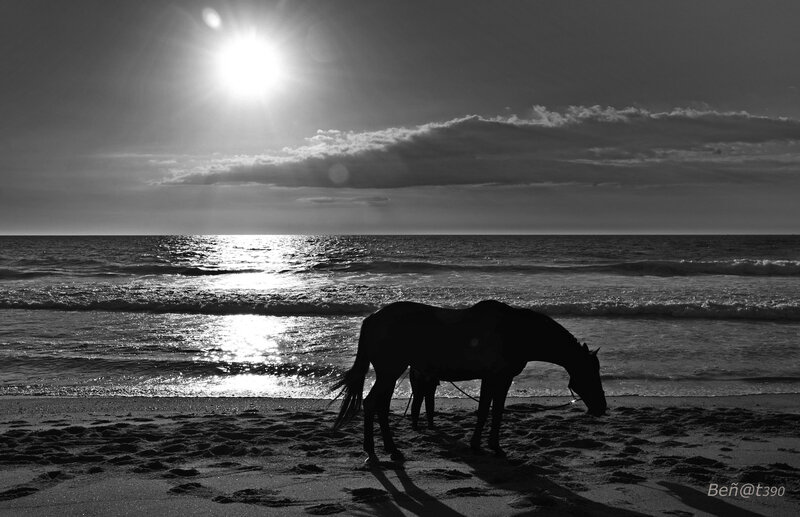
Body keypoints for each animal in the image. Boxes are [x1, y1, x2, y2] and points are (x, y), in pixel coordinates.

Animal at [332, 298, 608, 464]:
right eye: (590, 373)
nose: (602, 408)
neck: (516, 332)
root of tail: (372, 318)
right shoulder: (497, 378)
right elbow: (489, 411)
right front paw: (485, 446)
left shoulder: (495, 379)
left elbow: (491, 410)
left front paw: (486, 445)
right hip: (390, 372)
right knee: (372, 404)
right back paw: (374, 452)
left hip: (389, 373)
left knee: (380, 406)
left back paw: (390, 450)